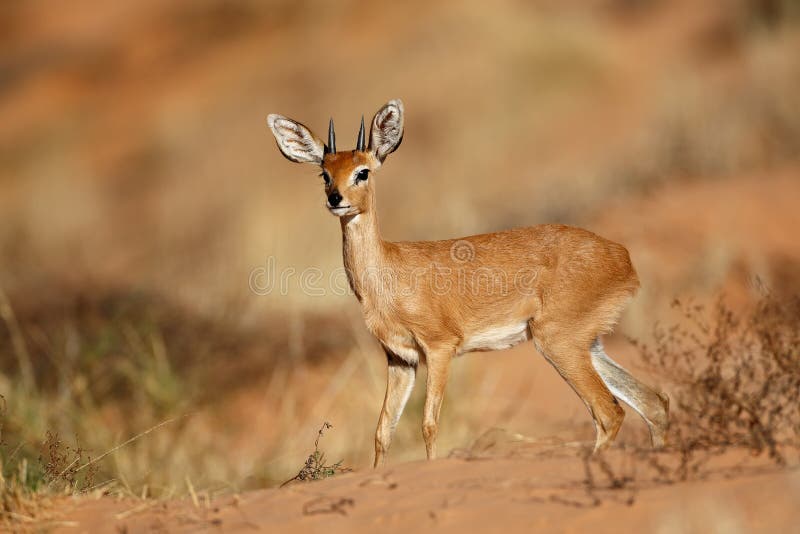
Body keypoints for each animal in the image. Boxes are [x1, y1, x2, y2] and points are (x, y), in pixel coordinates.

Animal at [268, 98, 668, 466]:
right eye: (324, 174)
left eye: (363, 172)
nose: (336, 200)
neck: (389, 273)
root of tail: (621, 256)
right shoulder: (400, 359)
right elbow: (383, 431)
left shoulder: (440, 348)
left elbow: (429, 424)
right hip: (588, 343)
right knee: (654, 403)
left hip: (558, 342)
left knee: (610, 412)